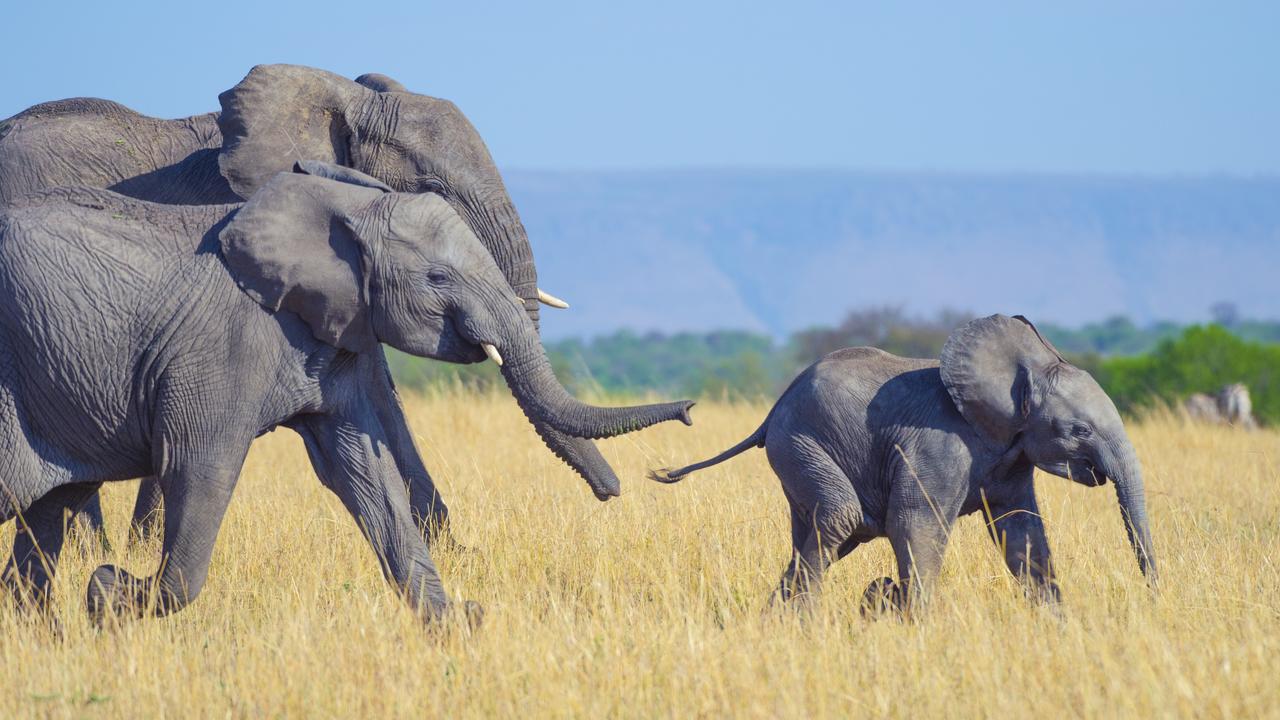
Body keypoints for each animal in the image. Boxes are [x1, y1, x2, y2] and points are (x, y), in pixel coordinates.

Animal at [0, 159, 691, 620]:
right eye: (438, 277)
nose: (688, 413)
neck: (343, 206)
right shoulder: (222, 347)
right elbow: (202, 467)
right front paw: (108, 592)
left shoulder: (339, 332)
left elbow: (364, 470)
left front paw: (456, 625)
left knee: (46, 515)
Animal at [655, 313, 1157, 609]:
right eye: (1080, 430)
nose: (1153, 596)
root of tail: (773, 411)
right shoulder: (939, 444)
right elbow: (917, 523)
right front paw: (917, 625)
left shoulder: (1013, 453)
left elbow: (1021, 531)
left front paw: (1055, 622)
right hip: (800, 443)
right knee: (839, 519)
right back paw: (805, 622)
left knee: (818, 536)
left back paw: (779, 622)